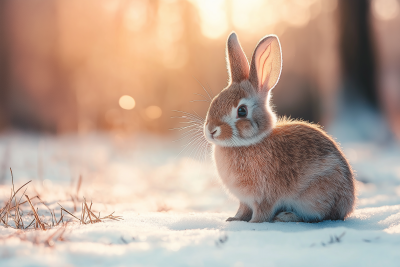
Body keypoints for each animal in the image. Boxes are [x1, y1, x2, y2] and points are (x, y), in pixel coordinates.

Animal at [205, 31, 354, 224]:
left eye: (242, 111)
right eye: (215, 101)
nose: (211, 130)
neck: (247, 143)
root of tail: (348, 204)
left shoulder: (264, 196)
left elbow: (262, 212)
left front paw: (254, 223)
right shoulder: (244, 200)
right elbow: (242, 210)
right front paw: (234, 219)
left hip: (316, 195)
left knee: (319, 217)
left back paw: (286, 216)